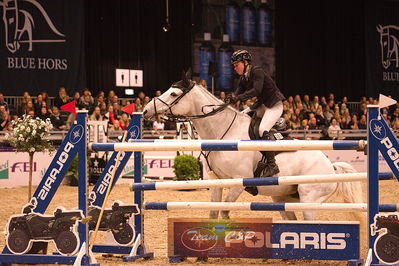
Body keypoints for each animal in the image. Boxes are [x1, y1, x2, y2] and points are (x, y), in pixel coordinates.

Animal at [144, 71, 366, 221]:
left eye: (174, 94)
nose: (146, 110)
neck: (223, 131)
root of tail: (331, 166)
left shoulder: (238, 182)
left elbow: (225, 211)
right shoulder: (216, 181)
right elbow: (214, 211)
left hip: (309, 198)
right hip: (282, 197)